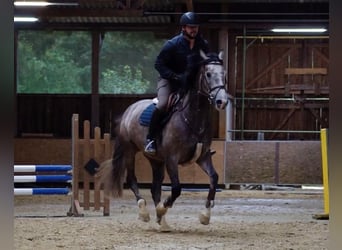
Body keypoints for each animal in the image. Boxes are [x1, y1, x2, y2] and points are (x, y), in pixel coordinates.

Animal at [96, 49, 230, 231]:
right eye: (208, 74)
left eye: (224, 74)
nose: (221, 101)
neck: (192, 118)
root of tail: (129, 110)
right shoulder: (172, 159)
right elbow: (176, 188)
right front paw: (162, 208)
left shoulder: (202, 157)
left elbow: (214, 178)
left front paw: (205, 215)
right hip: (130, 150)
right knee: (132, 180)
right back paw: (144, 212)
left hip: (156, 160)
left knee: (155, 188)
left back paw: (163, 222)